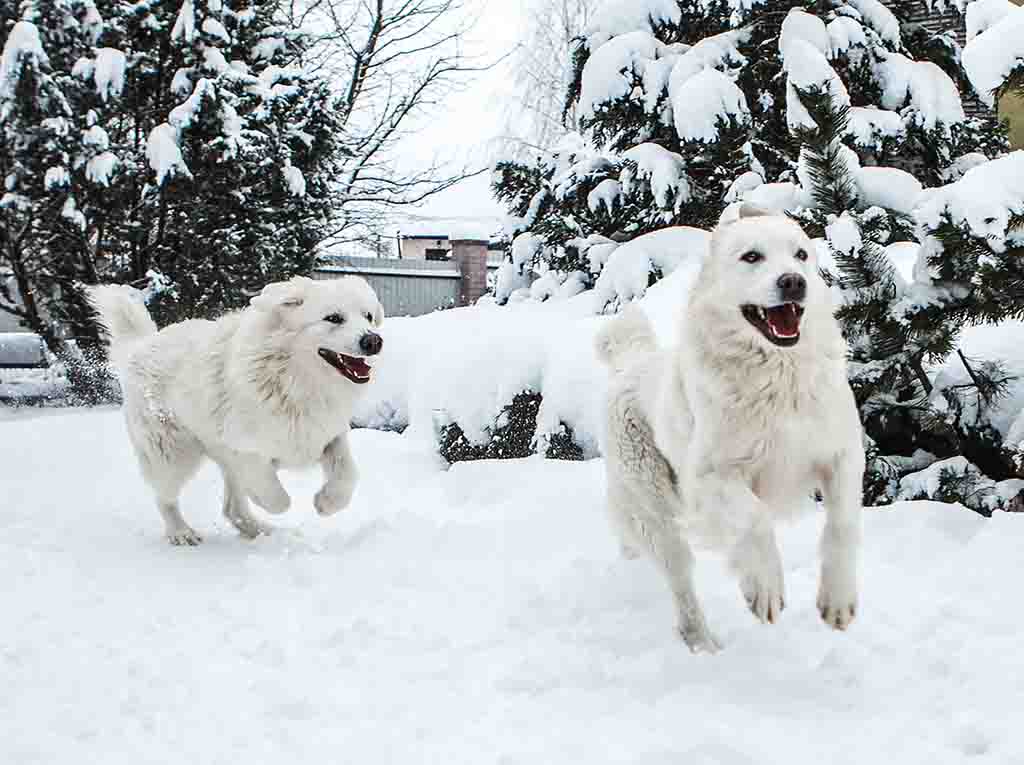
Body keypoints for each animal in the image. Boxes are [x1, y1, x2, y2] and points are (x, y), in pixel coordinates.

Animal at [87, 274, 385, 544]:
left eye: (368, 316)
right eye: (333, 318)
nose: (373, 341)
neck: (295, 379)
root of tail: (140, 345)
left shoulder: (327, 435)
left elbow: (348, 474)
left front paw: (327, 503)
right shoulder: (244, 448)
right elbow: (276, 497)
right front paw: (273, 500)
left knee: (232, 509)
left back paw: (261, 531)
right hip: (172, 454)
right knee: (166, 498)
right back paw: (181, 533)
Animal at [598, 203, 868, 651]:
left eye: (800, 255)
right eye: (752, 257)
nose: (793, 282)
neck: (778, 375)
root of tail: (631, 363)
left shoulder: (841, 454)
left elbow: (843, 524)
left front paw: (838, 600)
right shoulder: (711, 476)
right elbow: (755, 519)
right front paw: (765, 589)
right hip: (657, 515)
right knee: (683, 589)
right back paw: (704, 645)